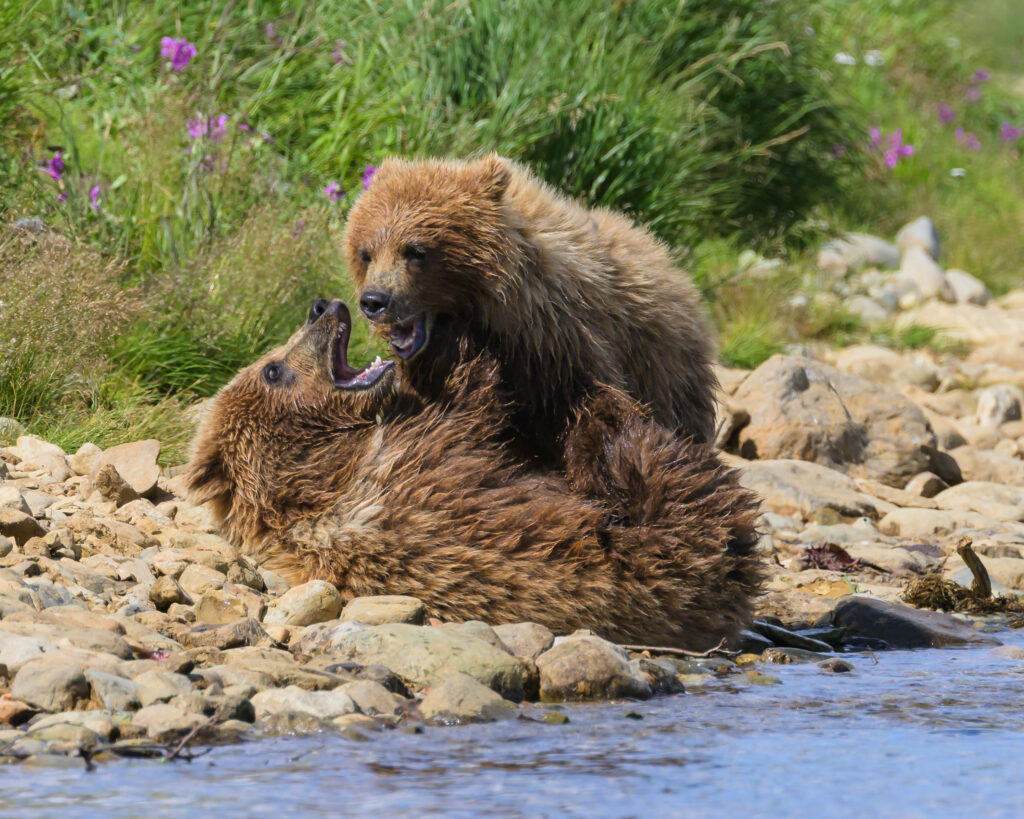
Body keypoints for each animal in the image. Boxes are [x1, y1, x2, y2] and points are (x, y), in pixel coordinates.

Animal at [184, 299, 762, 649]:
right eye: (272, 368)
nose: (322, 307)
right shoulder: (412, 461)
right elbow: (473, 404)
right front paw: (458, 343)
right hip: (660, 551)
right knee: (663, 473)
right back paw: (602, 418)